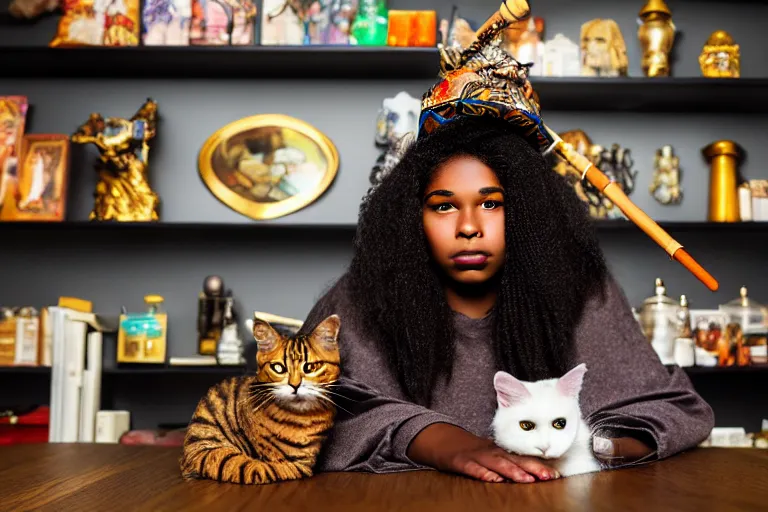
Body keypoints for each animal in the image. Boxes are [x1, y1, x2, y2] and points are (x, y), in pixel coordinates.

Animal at [181, 314, 342, 486]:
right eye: (278, 368)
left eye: (311, 367)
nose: (295, 385)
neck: (302, 418)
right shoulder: (294, 464)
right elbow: (275, 469)